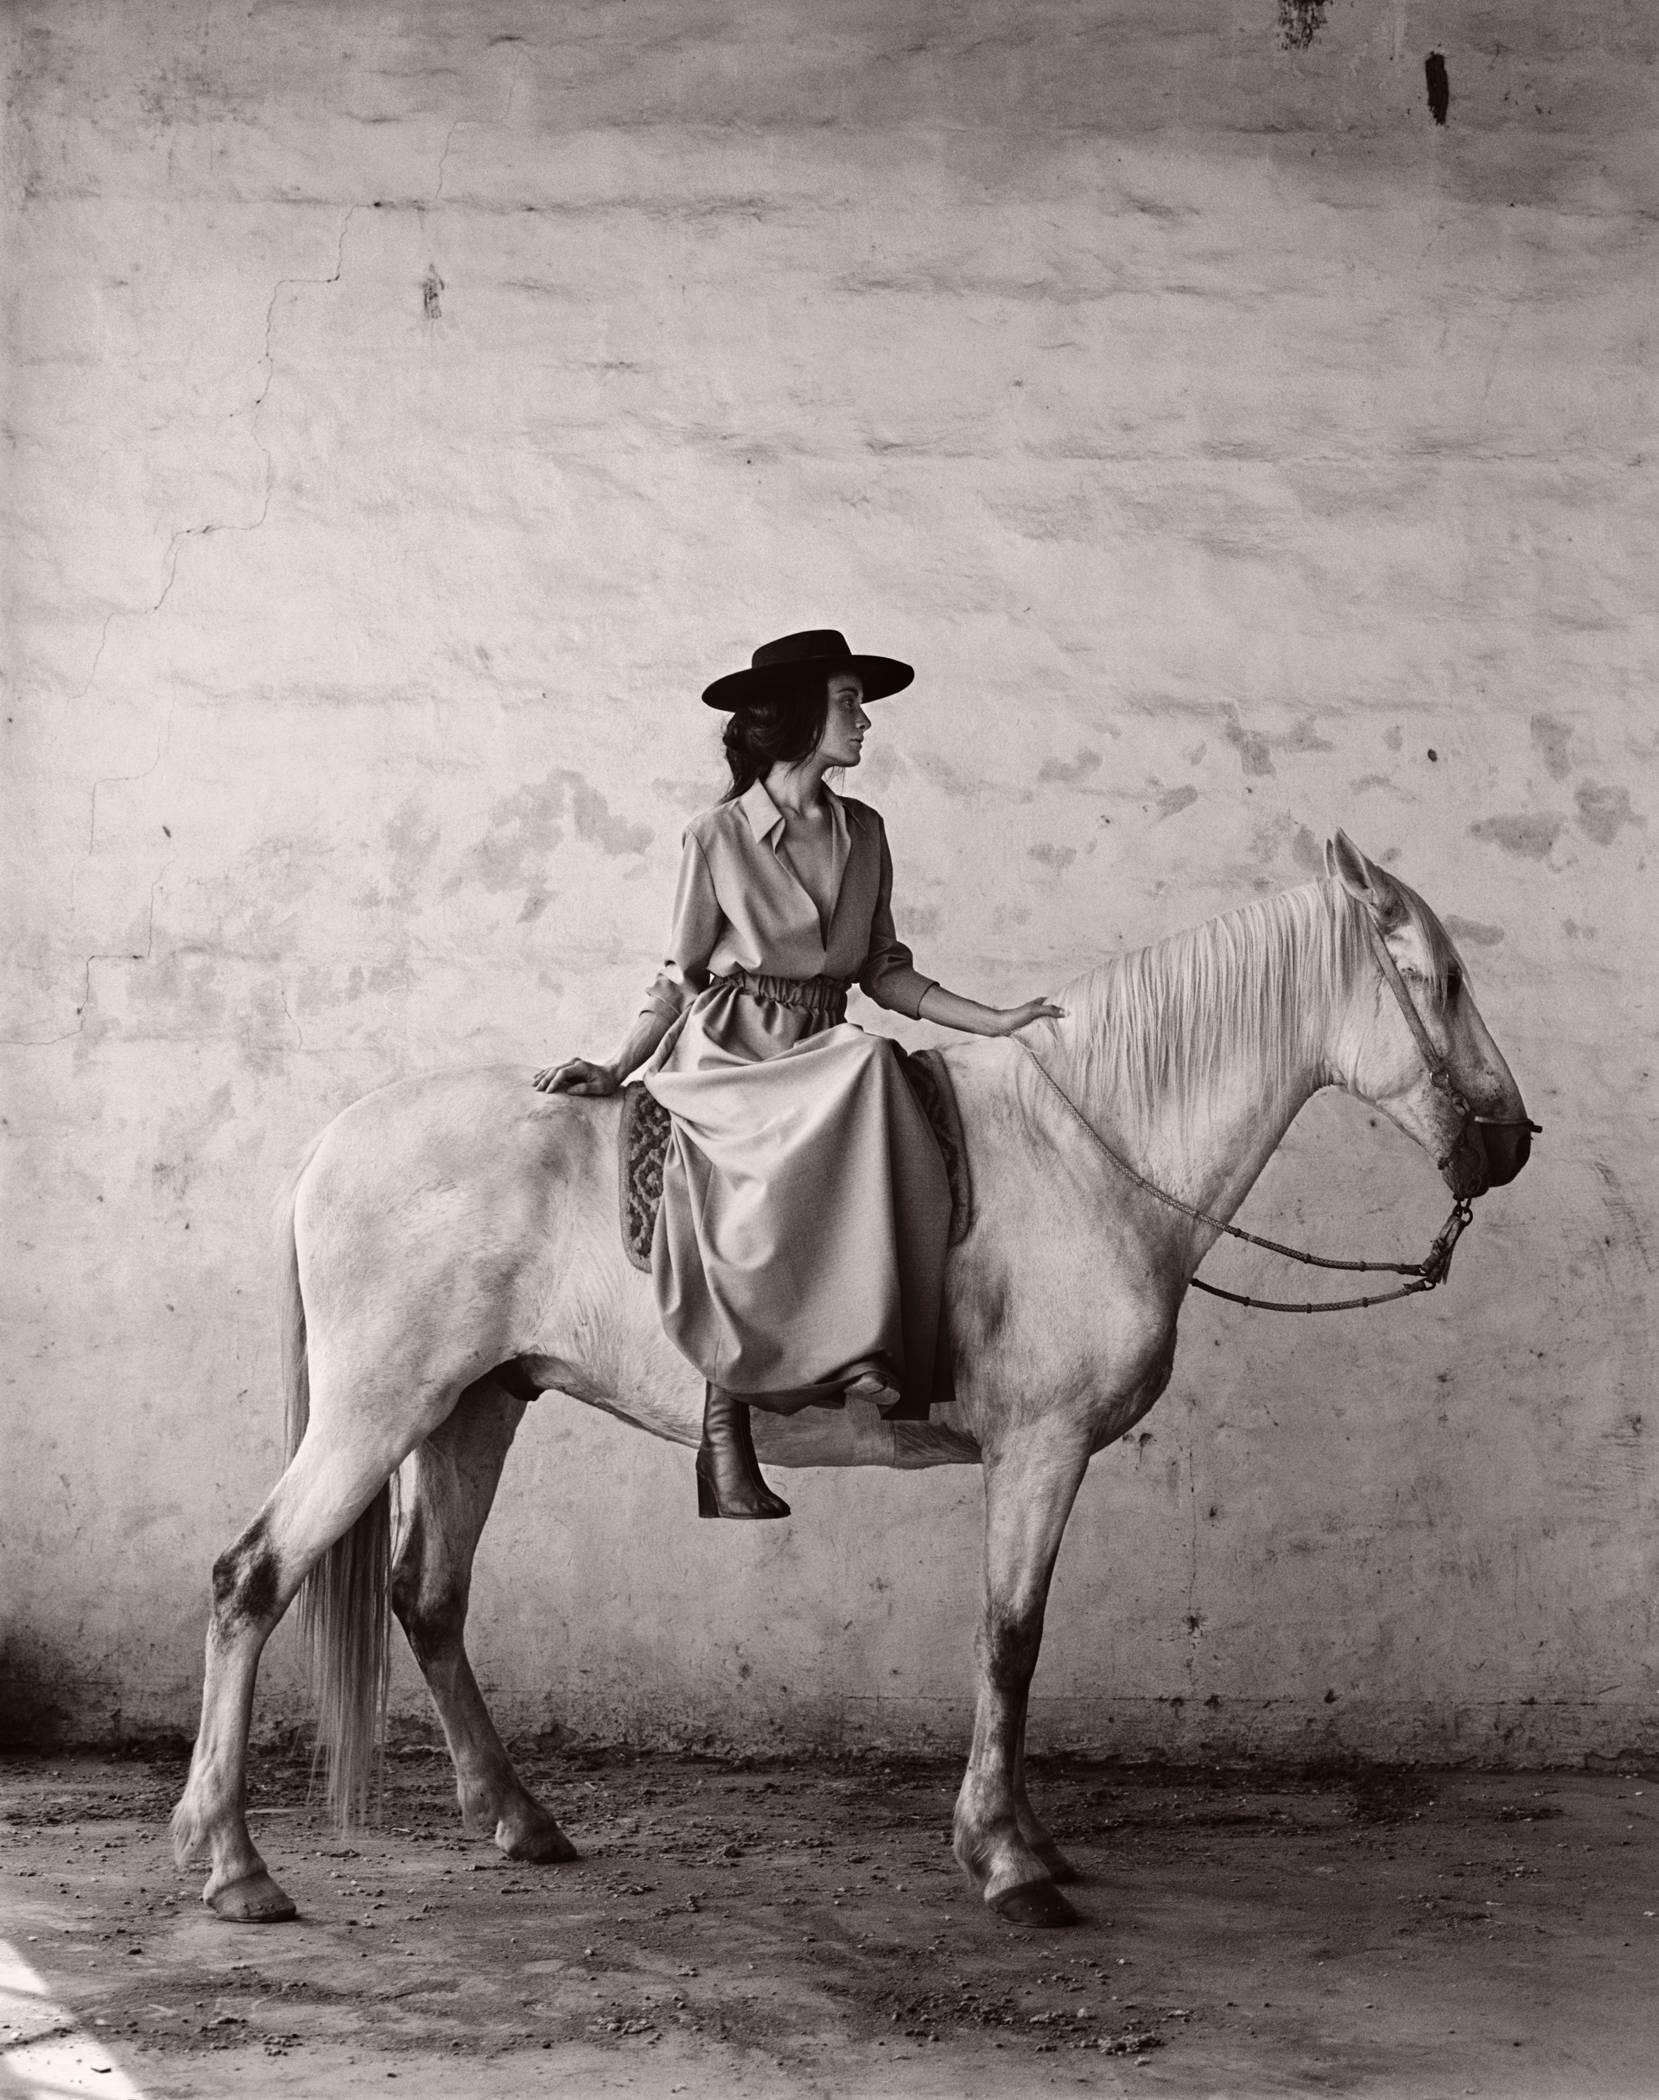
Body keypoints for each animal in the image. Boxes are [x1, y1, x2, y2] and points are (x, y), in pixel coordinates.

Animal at [169, 831, 1537, 1923]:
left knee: (429, 1599)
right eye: (1446, 980)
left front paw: (1023, 1843)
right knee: (253, 1580)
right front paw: (1007, 1862)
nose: (1515, 1141)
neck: (1090, 1151)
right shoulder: (1041, 1450)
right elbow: (1011, 1639)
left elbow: (1010, 1643)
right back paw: (232, 1863)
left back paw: (518, 1817)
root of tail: (331, 1142)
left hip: (472, 1410)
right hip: (377, 1412)